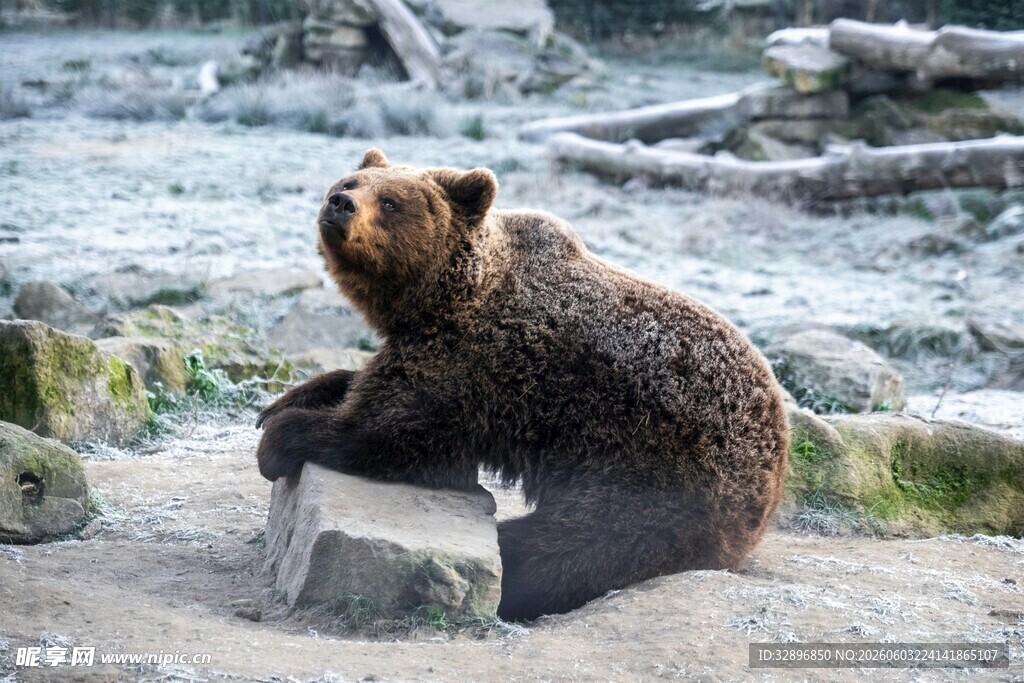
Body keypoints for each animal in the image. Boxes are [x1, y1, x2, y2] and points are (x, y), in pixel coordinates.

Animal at [256, 148, 790, 621]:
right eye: (350, 181)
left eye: (390, 202)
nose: (340, 204)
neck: (438, 299)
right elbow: (362, 385)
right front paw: (289, 399)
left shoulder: (476, 363)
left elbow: (390, 430)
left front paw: (281, 438)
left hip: (653, 474)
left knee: (569, 550)